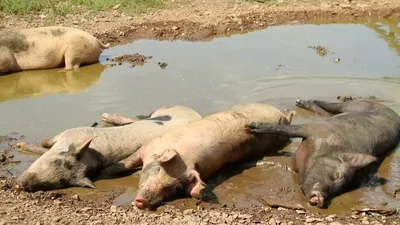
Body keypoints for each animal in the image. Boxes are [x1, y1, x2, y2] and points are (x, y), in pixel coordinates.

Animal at [15, 105, 203, 192]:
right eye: (56, 162)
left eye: (62, 182)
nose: (18, 185)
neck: (94, 155)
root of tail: (194, 113)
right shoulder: (68, 133)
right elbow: (45, 144)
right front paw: (20, 145)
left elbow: (44, 146)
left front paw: (20, 145)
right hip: (158, 113)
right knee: (138, 118)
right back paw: (105, 116)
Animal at [96, 103, 296, 210]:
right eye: (159, 169)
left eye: (175, 188)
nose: (141, 201)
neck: (187, 157)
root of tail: (286, 118)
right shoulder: (149, 145)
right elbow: (126, 163)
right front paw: (102, 175)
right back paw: (105, 117)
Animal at [248, 98, 400, 207]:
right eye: (337, 176)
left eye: (342, 188)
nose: (320, 199)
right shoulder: (314, 128)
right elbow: (286, 129)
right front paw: (252, 126)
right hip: (353, 105)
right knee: (333, 106)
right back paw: (302, 102)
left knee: (326, 113)